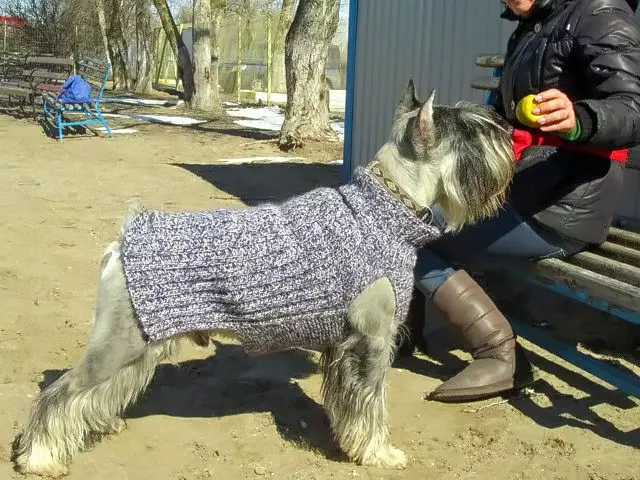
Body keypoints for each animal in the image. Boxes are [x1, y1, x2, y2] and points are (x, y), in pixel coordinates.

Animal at [11, 80, 516, 478]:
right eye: (470, 131)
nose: (510, 136)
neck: (386, 207)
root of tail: (125, 236)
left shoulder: (342, 347)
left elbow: (346, 403)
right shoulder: (371, 342)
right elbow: (371, 404)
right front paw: (380, 453)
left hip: (136, 350)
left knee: (92, 395)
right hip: (121, 343)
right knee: (60, 394)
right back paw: (40, 458)